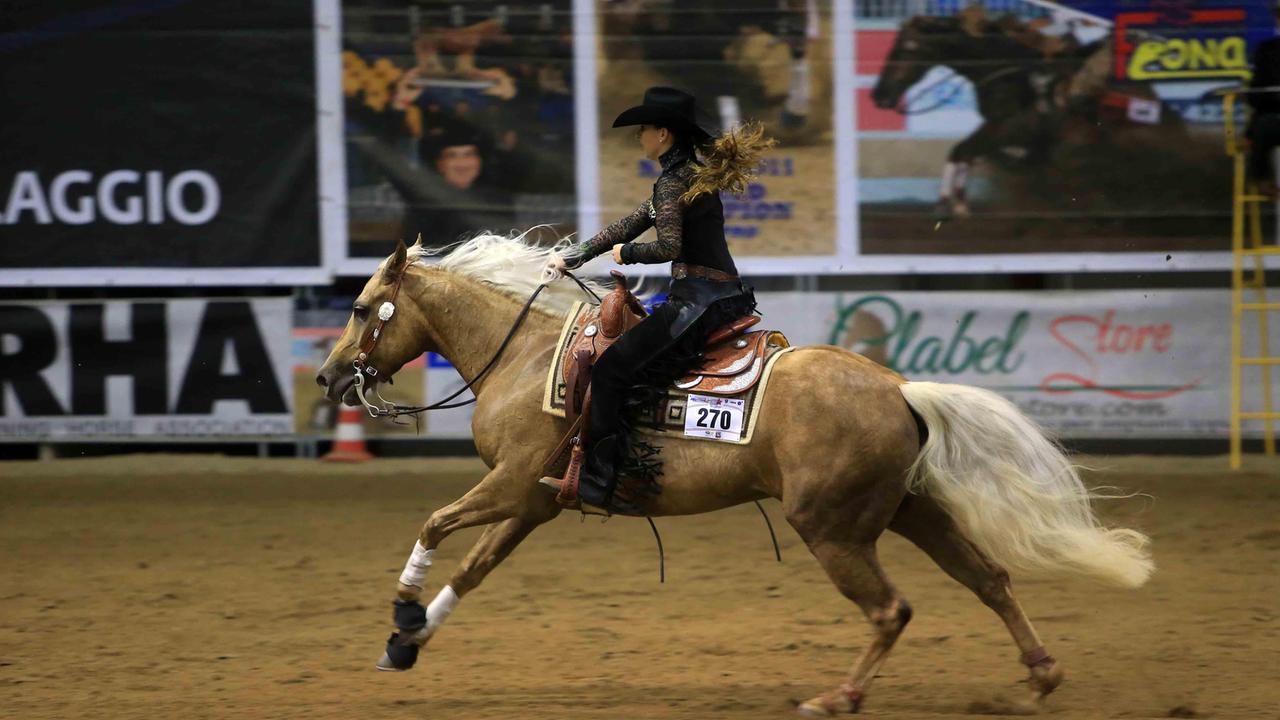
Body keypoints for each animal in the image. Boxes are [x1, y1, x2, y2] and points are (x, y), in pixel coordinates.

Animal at [314, 233, 1154, 717]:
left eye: (360, 308)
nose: (327, 379)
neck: (523, 356)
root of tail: (899, 388)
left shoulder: (513, 486)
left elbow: (435, 525)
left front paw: (402, 613)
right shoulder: (535, 501)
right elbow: (476, 568)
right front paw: (408, 642)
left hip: (833, 528)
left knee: (892, 610)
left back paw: (839, 697)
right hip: (911, 511)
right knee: (989, 580)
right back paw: (1040, 676)